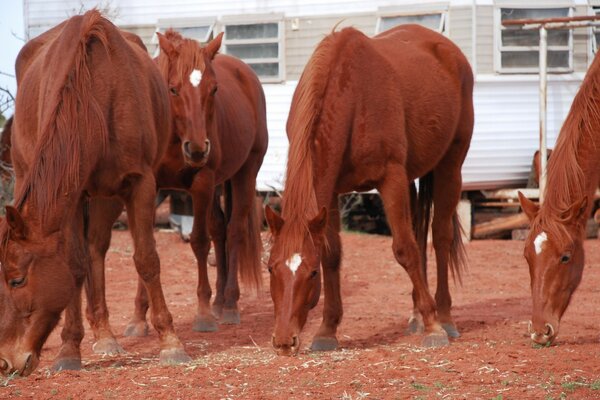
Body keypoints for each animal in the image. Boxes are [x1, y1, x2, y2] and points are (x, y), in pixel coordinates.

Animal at [0, 10, 190, 378]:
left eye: (16, 280)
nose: (4, 362)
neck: (95, 99)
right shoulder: (72, 196)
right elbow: (74, 266)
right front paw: (68, 349)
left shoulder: (140, 183)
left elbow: (147, 260)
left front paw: (172, 342)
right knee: (89, 254)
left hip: (108, 197)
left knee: (97, 249)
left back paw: (105, 335)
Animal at [80, 29, 268, 354]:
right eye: (172, 89)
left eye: (214, 88)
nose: (197, 149)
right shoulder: (149, 186)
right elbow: (145, 246)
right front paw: (138, 318)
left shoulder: (201, 183)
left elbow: (199, 243)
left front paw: (203, 315)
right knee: (220, 229)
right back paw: (220, 301)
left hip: (245, 172)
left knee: (234, 231)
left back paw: (229, 305)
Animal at [264, 24, 474, 356]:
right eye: (271, 268)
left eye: (311, 273)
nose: (284, 341)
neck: (352, 98)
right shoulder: (331, 192)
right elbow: (333, 254)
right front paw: (327, 331)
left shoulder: (391, 179)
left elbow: (405, 250)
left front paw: (433, 327)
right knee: (420, 234)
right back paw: (416, 315)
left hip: (450, 166)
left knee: (440, 237)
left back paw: (443, 316)